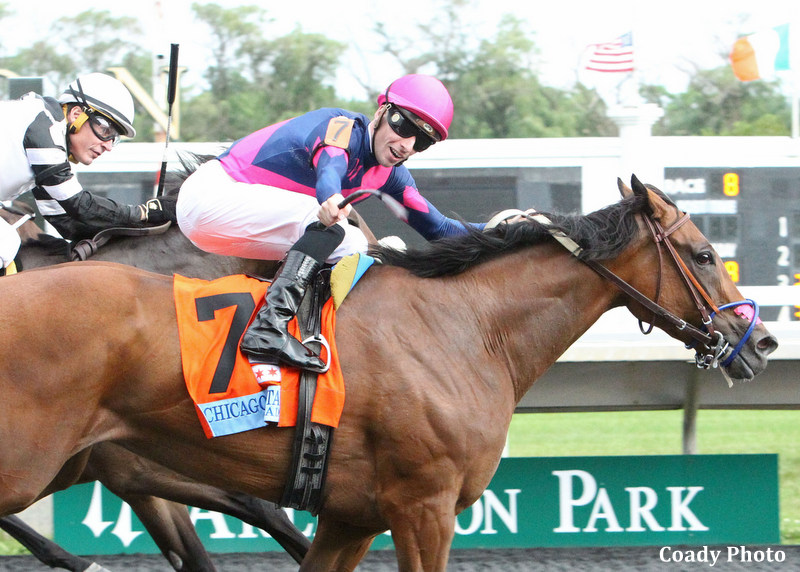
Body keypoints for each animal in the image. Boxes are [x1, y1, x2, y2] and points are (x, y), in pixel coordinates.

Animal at [0, 177, 780, 568]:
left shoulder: (351, 516)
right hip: (35, 464)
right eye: (704, 254)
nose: (763, 341)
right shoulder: (423, 506)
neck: (469, 328)